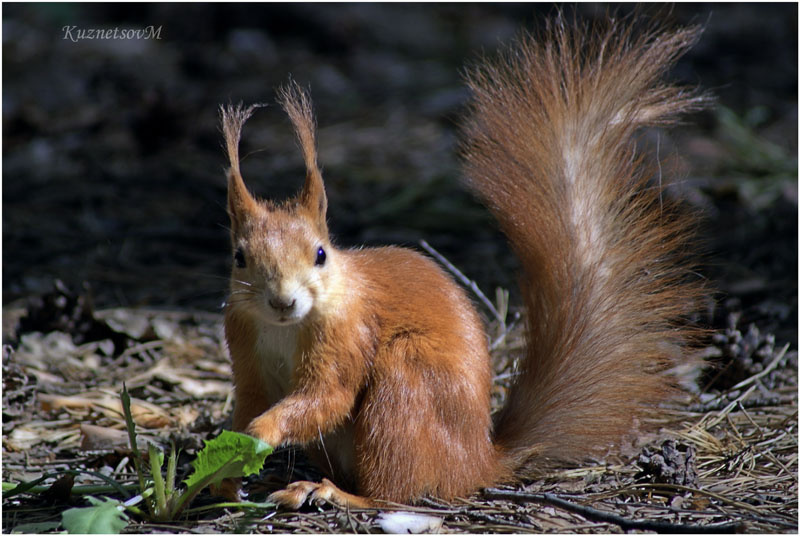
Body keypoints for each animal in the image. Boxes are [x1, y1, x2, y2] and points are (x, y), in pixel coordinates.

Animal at [218, 16, 708, 508]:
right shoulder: (243, 344)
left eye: (320, 254)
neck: (285, 328)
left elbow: (327, 396)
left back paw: (335, 493)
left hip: (405, 384)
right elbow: (250, 400)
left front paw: (263, 432)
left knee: (392, 494)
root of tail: (476, 461)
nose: (283, 301)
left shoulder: (347, 332)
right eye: (240, 257)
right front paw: (228, 467)